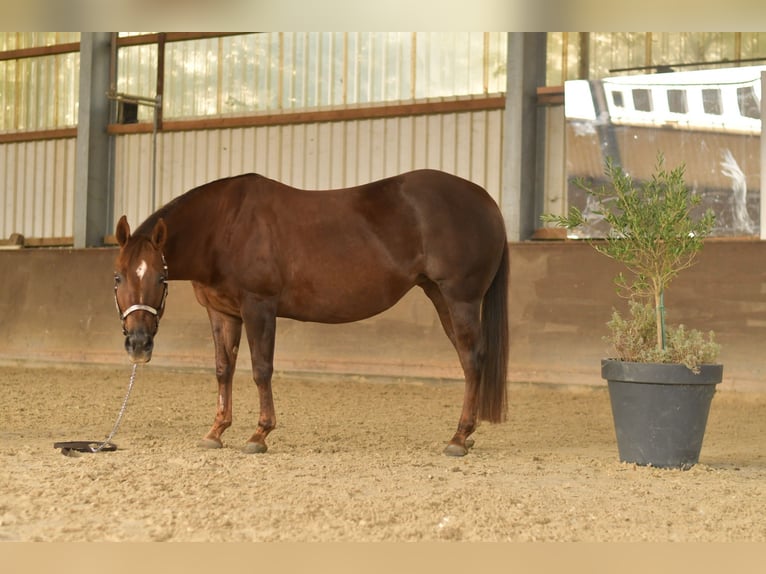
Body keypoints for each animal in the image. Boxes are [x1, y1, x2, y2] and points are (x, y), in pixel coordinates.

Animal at [113, 169, 509, 457]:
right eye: (118, 276)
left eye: (160, 276)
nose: (138, 344)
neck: (225, 227)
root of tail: (486, 200)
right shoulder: (222, 313)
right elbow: (223, 370)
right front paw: (216, 431)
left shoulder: (259, 306)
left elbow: (261, 370)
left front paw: (259, 435)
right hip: (440, 297)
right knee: (468, 359)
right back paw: (466, 435)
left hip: (460, 298)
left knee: (472, 359)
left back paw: (458, 438)